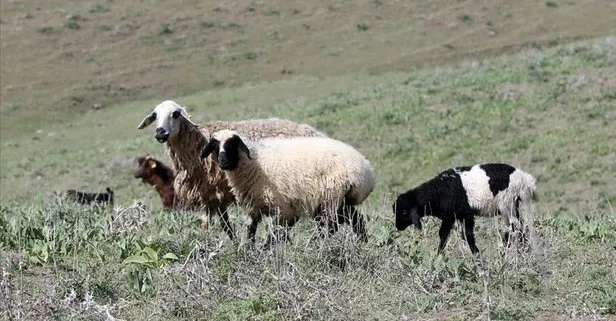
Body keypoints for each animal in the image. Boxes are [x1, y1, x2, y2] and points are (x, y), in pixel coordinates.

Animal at [136, 99, 328, 238]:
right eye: (155, 115)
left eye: (175, 114)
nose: (160, 133)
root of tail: (315, 132)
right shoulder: (212, 196)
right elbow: (224, 225)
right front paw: (234, 244)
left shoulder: (213, 194)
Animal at [200, 127, 378, 245]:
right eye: (215, 147)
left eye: (232, 145)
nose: (223, 162)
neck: (253, 162)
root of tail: (366, 171)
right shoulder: (256, 205)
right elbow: (252, 230)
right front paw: (250, 249)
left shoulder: (282, 207)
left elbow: (276, 234)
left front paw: (267, 249)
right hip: (338, 200)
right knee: (355, 219)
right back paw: (362, 241)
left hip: (332, 197)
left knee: (330, 225)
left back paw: (313, 244)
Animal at [394, 164, 540, 254]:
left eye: (404, 212)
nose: (398, 226)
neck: (439, 191)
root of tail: (524, 178)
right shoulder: (451, 217)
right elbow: (445, 235)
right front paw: (439, 255)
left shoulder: (466, 214)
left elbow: (468, 236)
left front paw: (476, 254)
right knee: (516, 228)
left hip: (508, 204)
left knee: (515, 228)